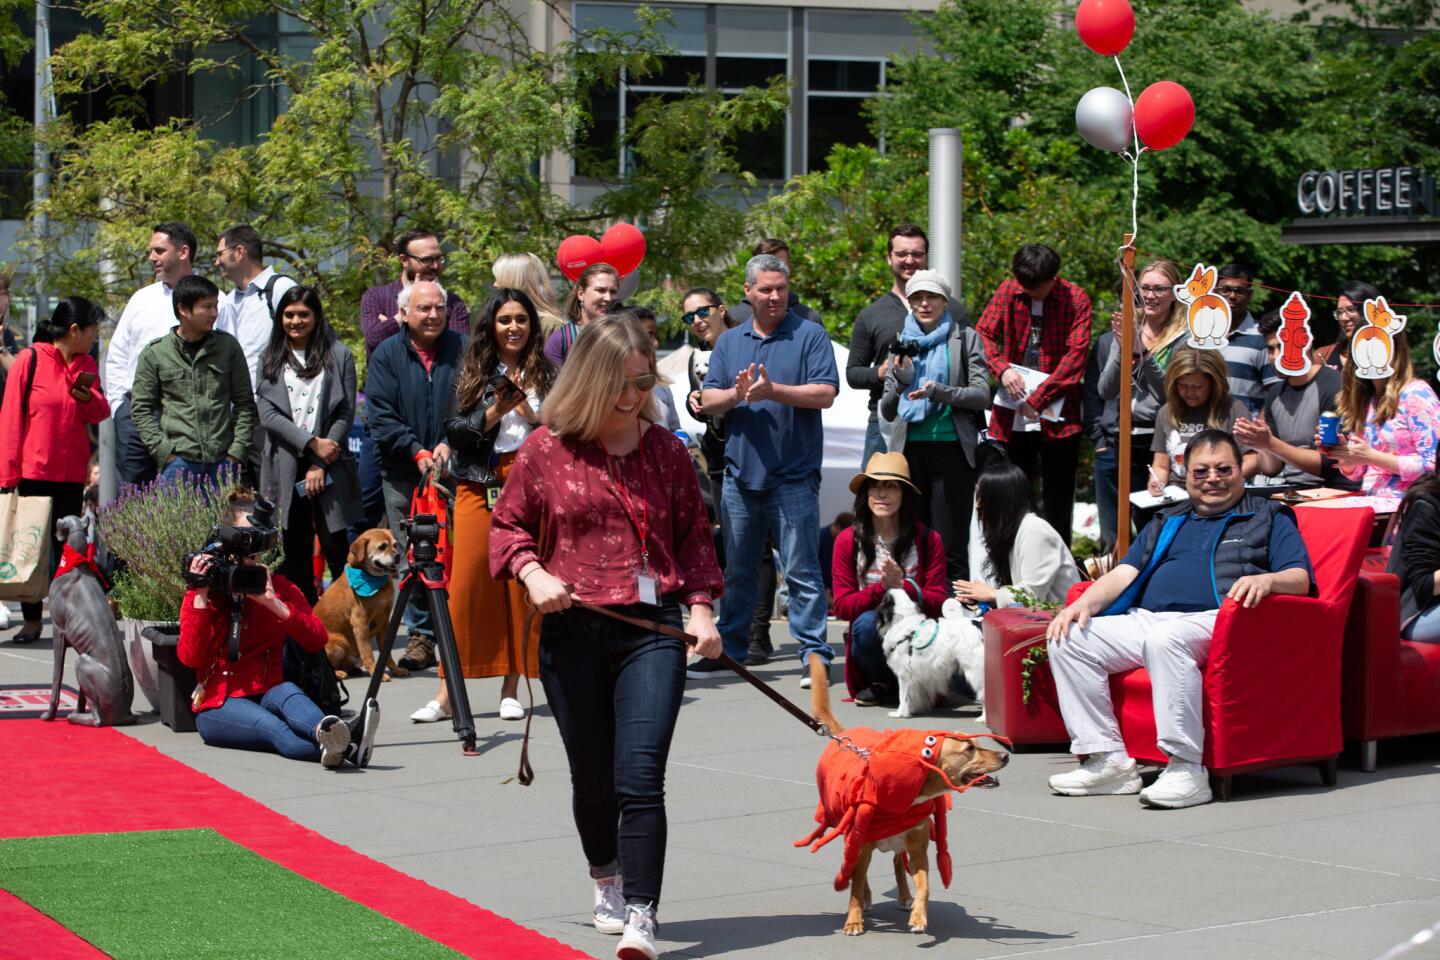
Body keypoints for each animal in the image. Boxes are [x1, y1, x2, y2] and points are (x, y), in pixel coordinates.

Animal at [316, 529, 406, 679]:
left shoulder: (384, 621)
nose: (398, 555)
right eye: (382, 547)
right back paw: (339, 672)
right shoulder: (360, 623)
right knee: (329, 667)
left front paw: (395, 669)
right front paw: (376, 673)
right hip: (339, 643)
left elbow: (386, 653)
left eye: (395, 545)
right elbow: (368, 652)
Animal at [806, 656, 1008, 932]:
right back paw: (867, 900)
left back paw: (904, 897)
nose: (1005, 755)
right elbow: (855, 885)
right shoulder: (860, 843)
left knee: (896, 864)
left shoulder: (918, 850)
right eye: (969, 749)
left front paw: (919, 916)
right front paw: (854, 920)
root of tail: (846, 734)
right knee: (861, 873)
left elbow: (924, 886)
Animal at [869, 587, 984, 719]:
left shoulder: (904, 674)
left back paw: (983, 718)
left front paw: (899, 713)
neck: (903, 620)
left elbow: (902, 696)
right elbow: (911, 696)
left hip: (975, 671)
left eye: (883, 597)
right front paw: (911, 711)